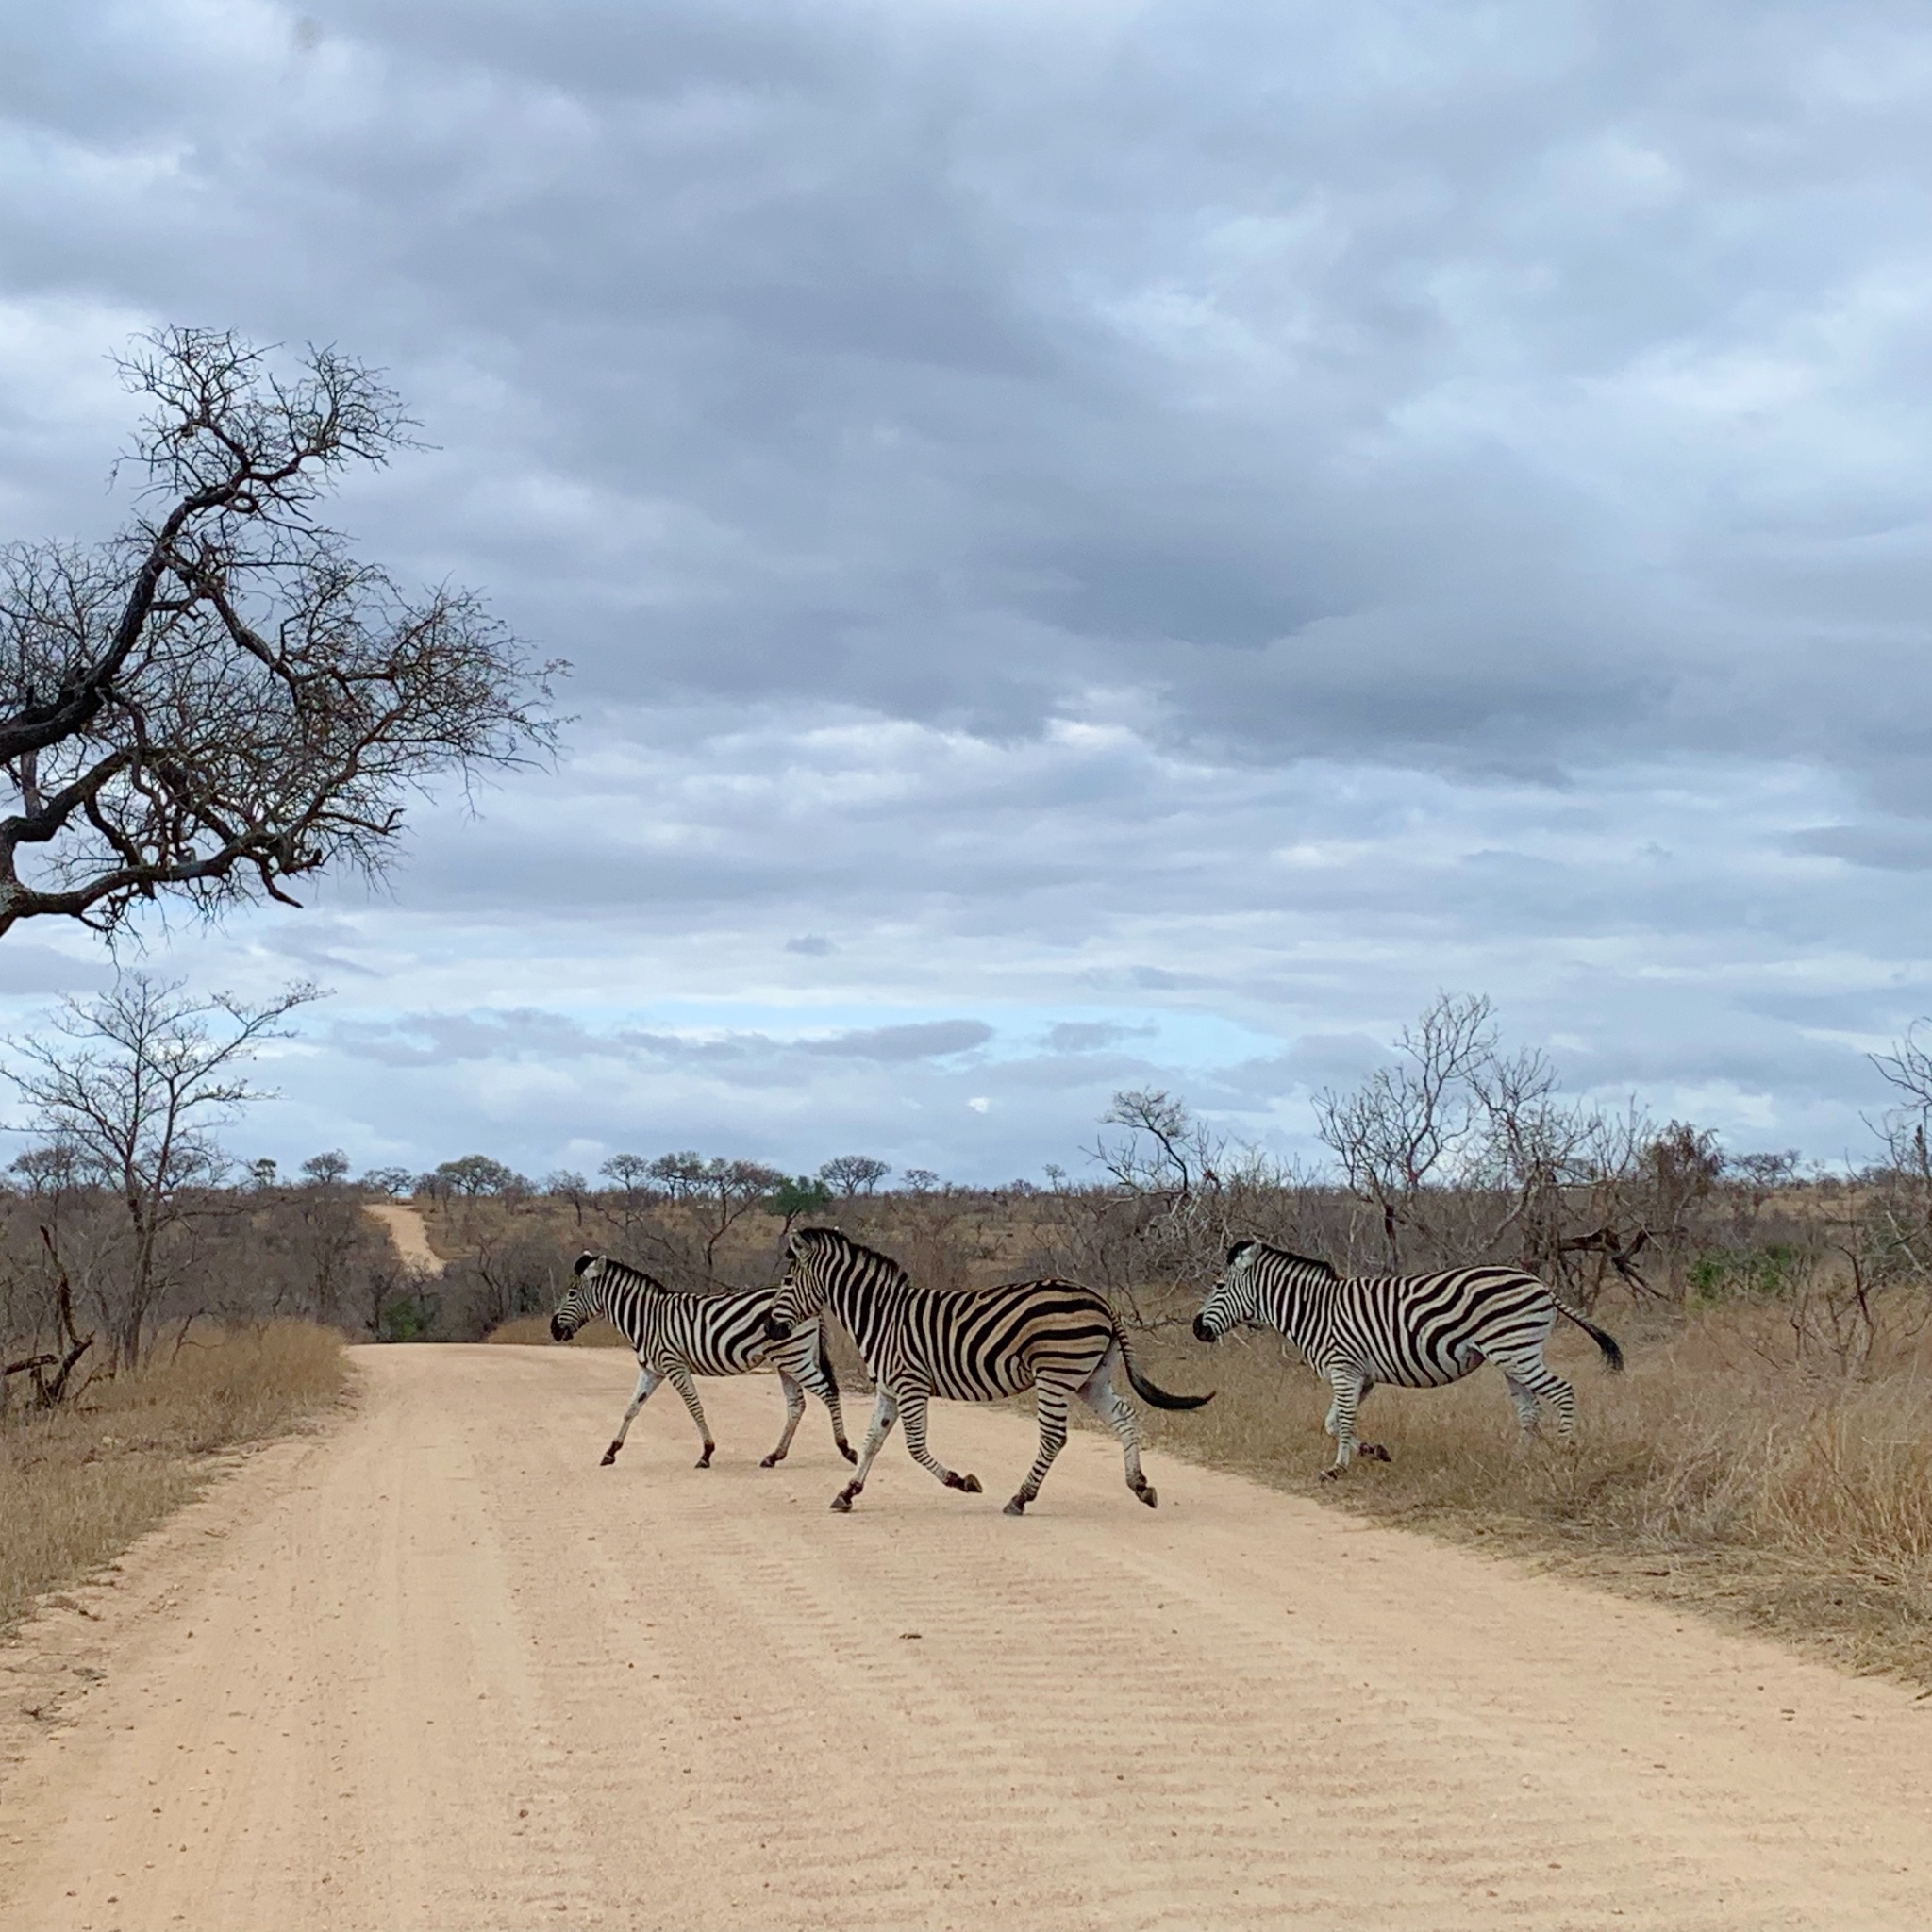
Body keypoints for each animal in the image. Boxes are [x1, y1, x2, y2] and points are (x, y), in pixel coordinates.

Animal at [548, 1243, 858, 1468]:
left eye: (572, 1293)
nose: (553, 1329)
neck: (646, 1318)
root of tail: (812, 1309)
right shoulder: (652, 1370)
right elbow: (631, 1408)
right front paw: (611, 1451)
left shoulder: (674, 1364)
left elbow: (694, 1407)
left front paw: (707, 1453)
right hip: (787, 1361)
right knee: (796, 1405)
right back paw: (774, 1456)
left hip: (795, 1358)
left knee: (828, 1392)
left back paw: (846, 1449)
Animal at [757, 1228, 1197, 1514]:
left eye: (787, 1281)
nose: (770, 1328)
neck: (881, 1317)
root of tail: (1101, 1301)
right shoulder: (889, 1388)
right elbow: (871, 1443)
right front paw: (848, 1492)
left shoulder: (911, 1383)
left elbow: (914, 1446)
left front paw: (962, 1481)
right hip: (1090, 1377)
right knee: (1124, 1417)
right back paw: (1140, 1486)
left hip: (1055, 1375)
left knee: (1054, 1437)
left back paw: (1020, 1498)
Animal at [1190, 1236, 1615, 1475]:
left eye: (1219, 1286)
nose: (1196, 1328)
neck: (1315, 1311)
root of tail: (1541, 1285)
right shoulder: (1361, 1376)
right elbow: (1332, 1423)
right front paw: (1372, 1452)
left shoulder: (1345, 1370)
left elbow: (1342, 1421)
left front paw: (1337, 1469)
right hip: (1512, 1357)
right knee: (1530, 1410)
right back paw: (1518, 1461)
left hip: (1516, 1350)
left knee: (1563, 1391)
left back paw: (1564, 1454)